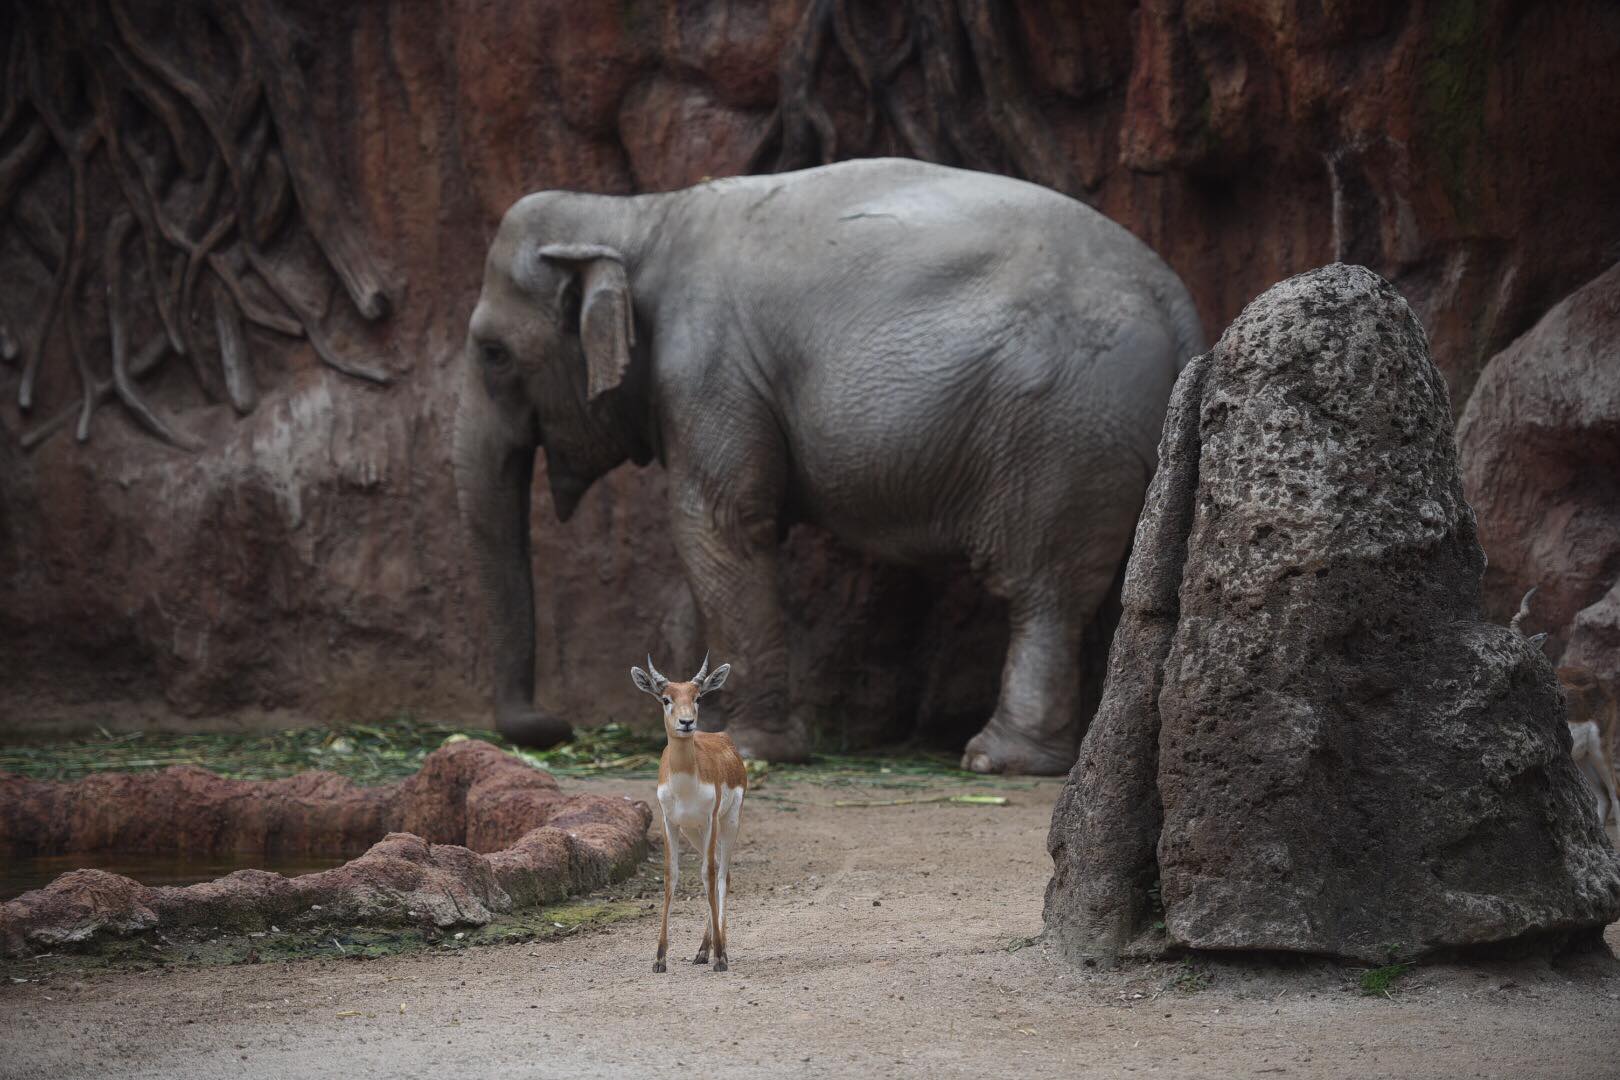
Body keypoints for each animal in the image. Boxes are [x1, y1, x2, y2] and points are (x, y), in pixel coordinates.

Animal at [456, 156, 1205, 773]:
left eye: (493, 353)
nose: (553, 723)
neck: (635, 215)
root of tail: (1180, 306)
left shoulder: (709, 368)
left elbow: (721, 521)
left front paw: (756, 747)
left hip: (1060, 431)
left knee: (1040, 587)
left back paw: (998, 760)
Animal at [631, 654, 745, 977]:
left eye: (698, 698)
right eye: (665, 698)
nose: (686, 722)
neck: (685, 783)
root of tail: (725, 740)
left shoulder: (710, 819)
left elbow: (708, 874)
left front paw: (720, 957)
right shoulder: (669, 821)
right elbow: (672, 876)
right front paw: (659, 958)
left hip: (727, 823)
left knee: (722, 874)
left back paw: (718, 950)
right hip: (693, 832)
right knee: (717, 872)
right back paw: (702, 951)